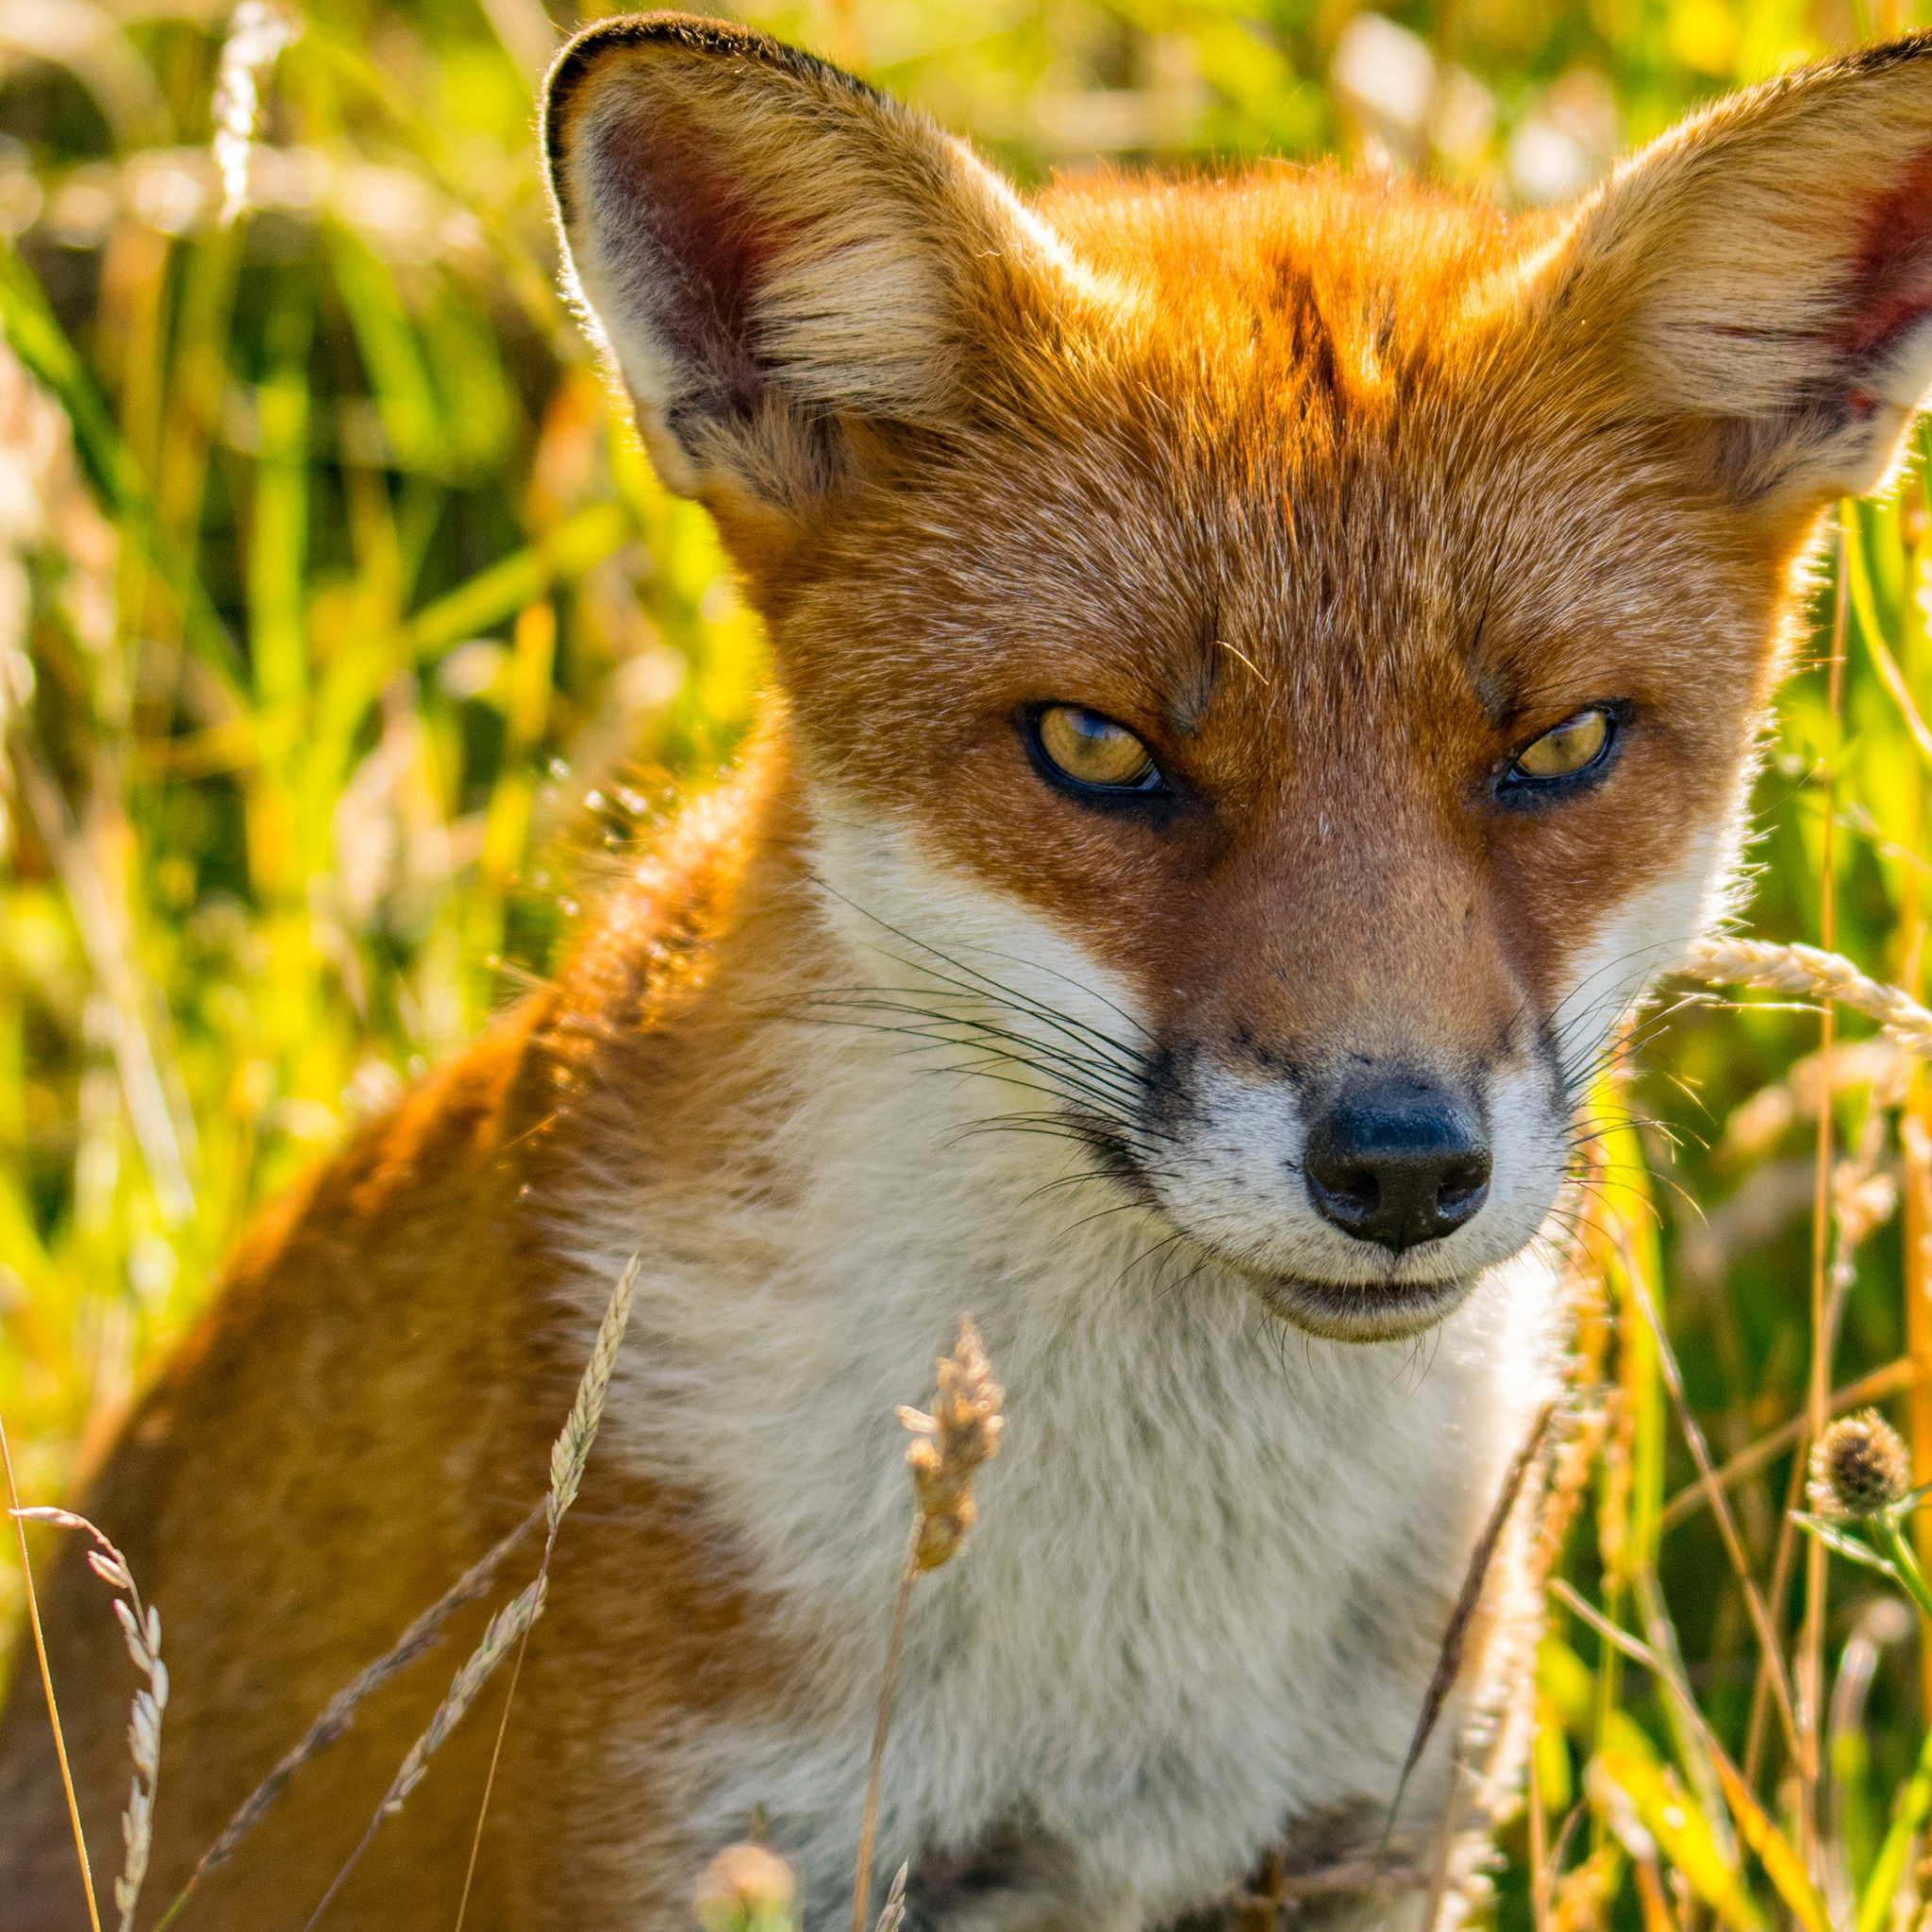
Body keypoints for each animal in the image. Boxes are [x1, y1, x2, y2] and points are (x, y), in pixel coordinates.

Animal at [4, 18, 1932, 1932]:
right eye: (1095, 747)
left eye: (1561, 745)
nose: (1401, 1169)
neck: (1151, 1653)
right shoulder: (701, 1844)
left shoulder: (1367, 1840)